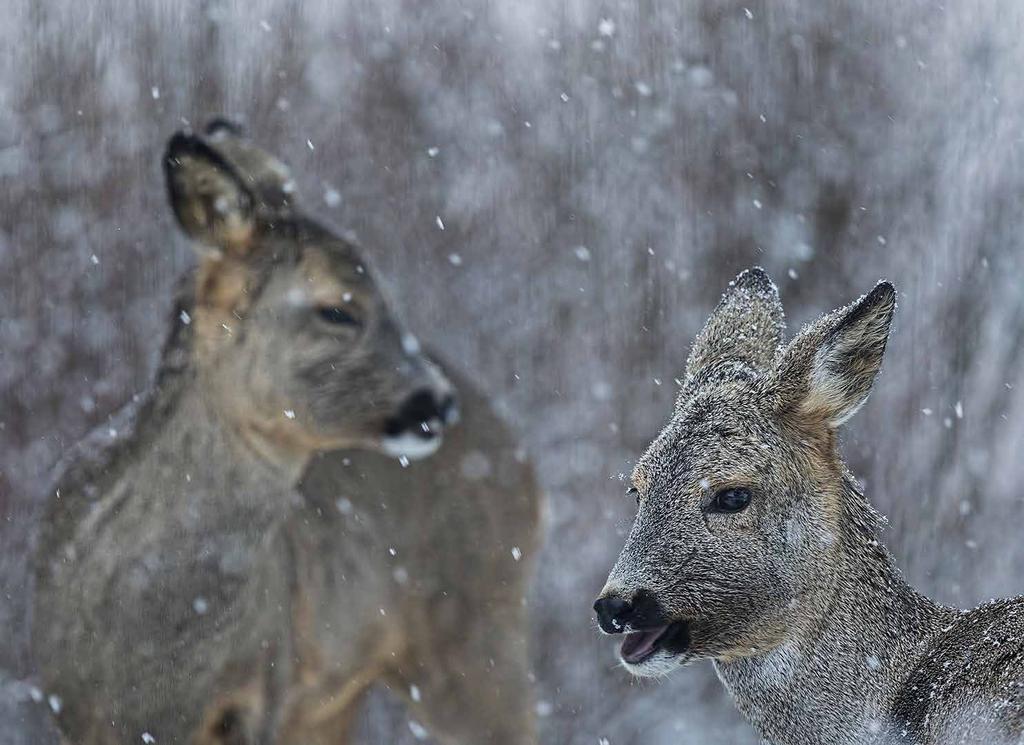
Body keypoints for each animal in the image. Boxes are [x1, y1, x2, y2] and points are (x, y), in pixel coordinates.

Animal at [29, 122, 544, 745]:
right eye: (337, 309)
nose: (437, 403)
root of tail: (524, 462)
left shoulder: (259, 694)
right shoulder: (69, 706)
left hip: (475, 632)